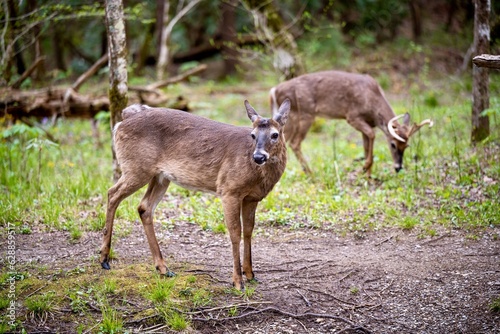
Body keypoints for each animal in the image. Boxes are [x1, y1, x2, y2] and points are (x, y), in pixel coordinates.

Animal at [99, 98, 292, 290]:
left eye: (275, 134)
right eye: (252, 135)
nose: (258, 157)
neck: (258, 175)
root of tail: (123, 120)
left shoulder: (252, 198)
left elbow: (249, 231)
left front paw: (251, 274)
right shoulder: (229, 190)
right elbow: (235, 232)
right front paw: (238, 281)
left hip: (160, 176)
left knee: (144, 207)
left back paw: (163, 268)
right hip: (137, 167)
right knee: (112, 193)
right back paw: (104, 258)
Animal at [270, 70, 434, 177]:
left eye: (406, 146)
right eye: (393, 144)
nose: (398, 168)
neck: (372, 100)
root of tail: (274, 90)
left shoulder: (366, 123)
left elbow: (367, 144)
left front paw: (368, 176)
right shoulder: (352, 117)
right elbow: (372, 135)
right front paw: (364, 168)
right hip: (305, 114)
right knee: (295, 143)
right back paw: (310, 173)